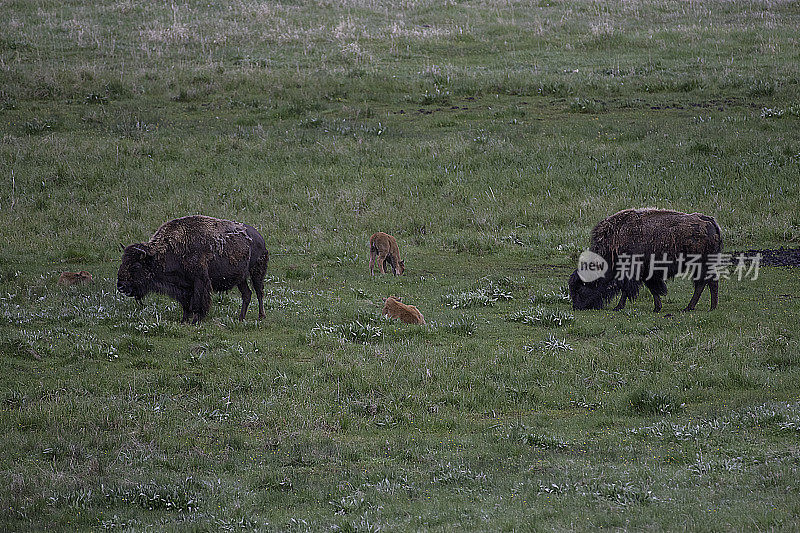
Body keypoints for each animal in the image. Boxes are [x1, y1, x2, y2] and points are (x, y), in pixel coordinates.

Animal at [117, 214, 270, 322]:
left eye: (136, 265)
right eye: (123, 262)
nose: (121, 286)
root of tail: (259, 238)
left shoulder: (199, 281)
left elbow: (197, 302)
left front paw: (195, 320)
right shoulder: (184, 286)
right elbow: (186, 304)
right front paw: (184, 320)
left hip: (256, 272)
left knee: (259, 292)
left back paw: (261, 316)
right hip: (241, 278)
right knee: (247, 294)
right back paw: (240, 318)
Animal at [568, 206, 724, 310]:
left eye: (581, 287)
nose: (577, 307)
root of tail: (710, 221)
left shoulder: (632, 271)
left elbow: (626, 289)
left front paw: (618, 307)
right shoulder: (647, 272)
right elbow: (653, 289)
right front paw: (657, 307)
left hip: (701, 264)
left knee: (706, 282)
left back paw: (699, 307)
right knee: (706, 282)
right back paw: (704, 307)